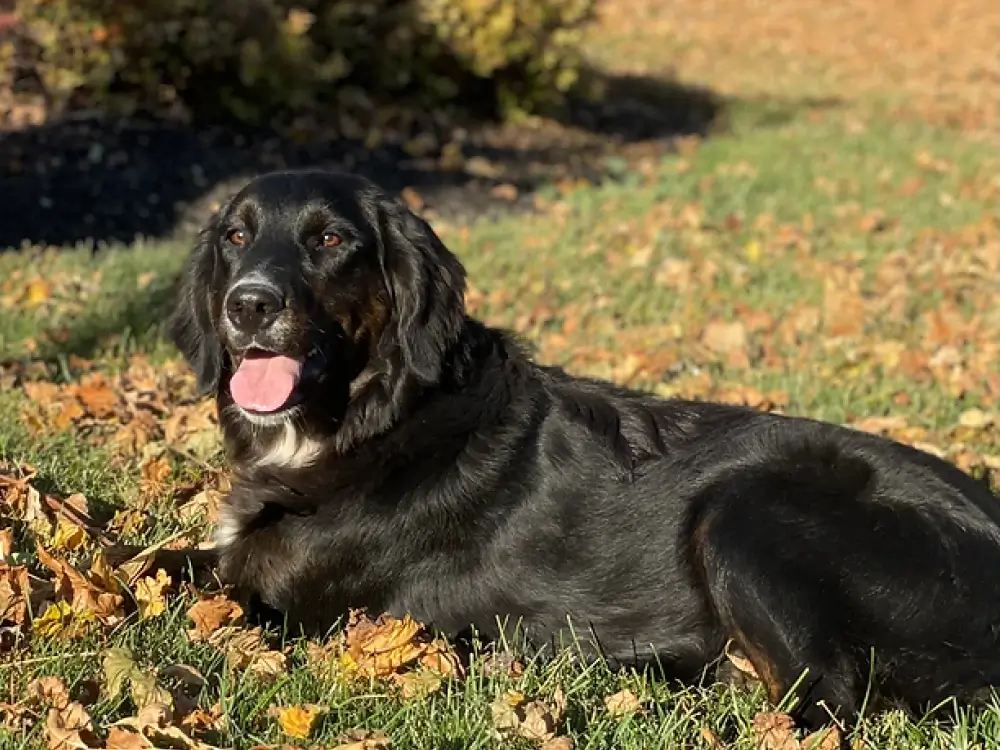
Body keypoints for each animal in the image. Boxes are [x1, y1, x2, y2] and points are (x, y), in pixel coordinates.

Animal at [168, 167, 1000, 732]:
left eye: (331, 240)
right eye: (235, 237)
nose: (249, 303)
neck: (377, 414)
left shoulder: (282, 600)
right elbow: (157, 557)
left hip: (745, 507)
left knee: (826, 700)